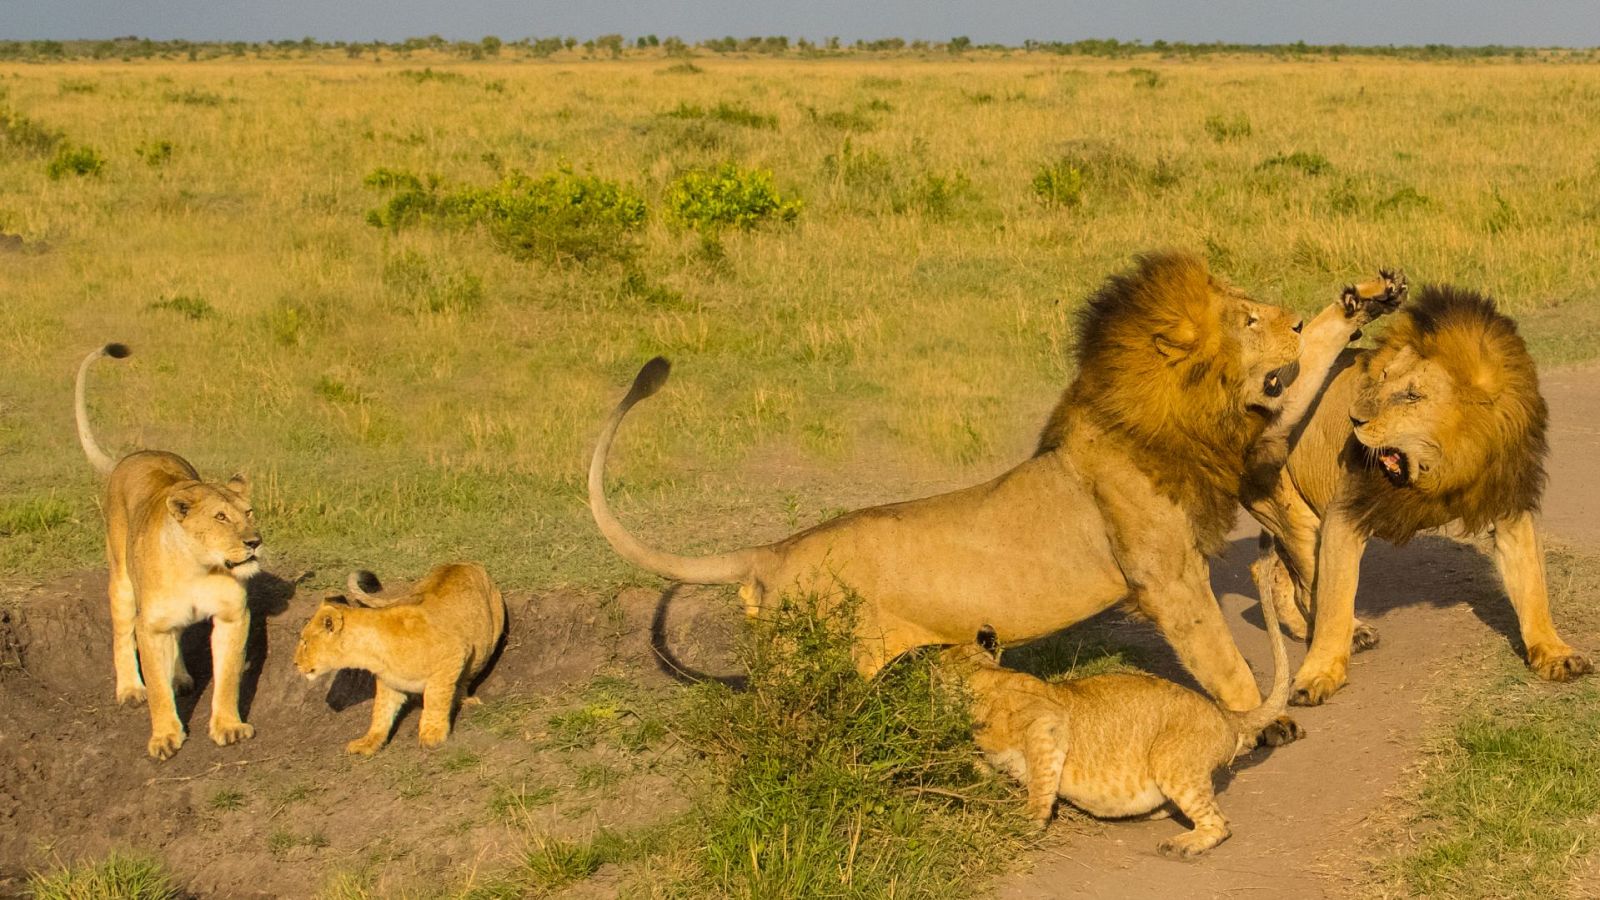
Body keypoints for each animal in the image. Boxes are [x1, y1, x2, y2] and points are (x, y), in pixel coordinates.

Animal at [75, 342, 260, 755]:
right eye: (220, 517)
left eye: (249, 512)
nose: (255, 542)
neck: (197, 567)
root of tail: (133, 455)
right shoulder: (151, 626)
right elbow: (157, 688)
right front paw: (164, 737)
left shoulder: (232, 616)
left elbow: (227, 678)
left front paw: (228, 726)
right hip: (122, 582)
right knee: (121, 635)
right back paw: (130, 689)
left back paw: (181, 677)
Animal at [592, 249, 1401, 730]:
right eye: (1249, 317)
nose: (1291, 318)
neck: (1184, 412)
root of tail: (770, 553)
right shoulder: (1167, 577)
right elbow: (1219, 655)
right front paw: (1262, 719)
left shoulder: (1254, 440)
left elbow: (1318, 360)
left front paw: (1365, 297)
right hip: (806, 674)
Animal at [1248, 283, 1587, 704]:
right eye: (1382, 377)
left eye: (1411, 396)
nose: (1355, 418)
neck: (1442, 465)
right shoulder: (1345, 514)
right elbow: (1333, 601)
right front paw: (1319, 673)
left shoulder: (1510, 505)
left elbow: (1532, 586)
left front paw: (1555, 653)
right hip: (1293, 513)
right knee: (1307, 580)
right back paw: (1353, 632)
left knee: (1272, 572)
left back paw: (1298, 627)